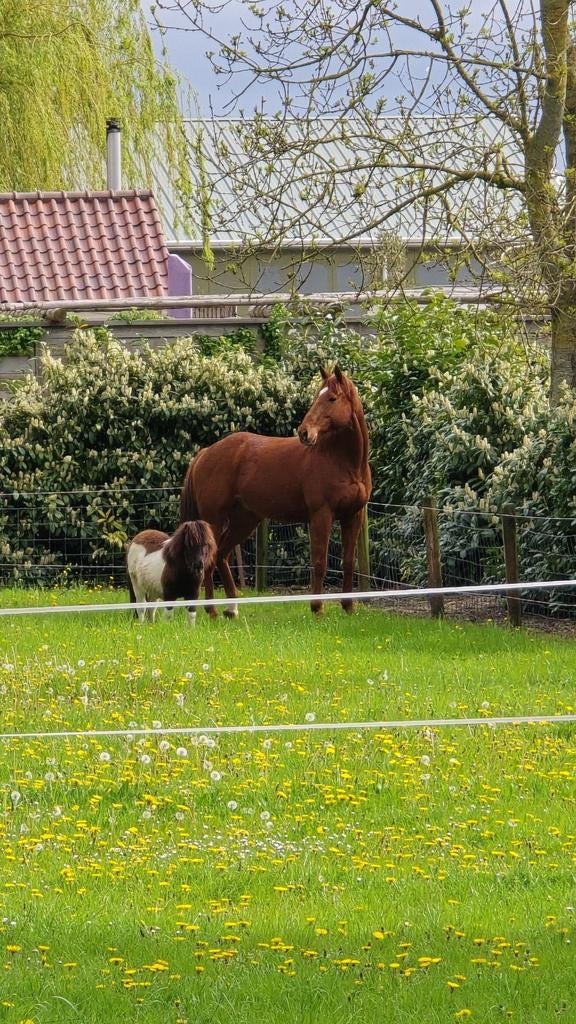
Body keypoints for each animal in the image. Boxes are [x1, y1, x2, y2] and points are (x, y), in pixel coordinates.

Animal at [180, 365, 371, 617]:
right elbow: (320, 562)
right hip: (215, 520)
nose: (304, 432)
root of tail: (205, 452)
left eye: (332, 398)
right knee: (210, 560)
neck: (343, 461)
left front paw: (348, 608)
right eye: (316, 397)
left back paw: (232, 610)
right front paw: (317, 608)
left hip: (245, 520)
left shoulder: (353, 515)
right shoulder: (321, 515)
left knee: (222, 555)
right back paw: (211, 611)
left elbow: (349, 562)